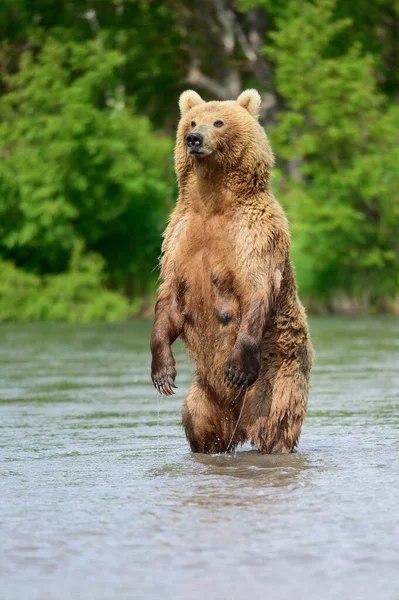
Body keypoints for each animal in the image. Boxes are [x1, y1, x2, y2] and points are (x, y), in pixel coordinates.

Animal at [152, 89, 314, 452]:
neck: (213, 203)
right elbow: (168, 297)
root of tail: (235, 420)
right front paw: (162, 372)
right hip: (204, 394)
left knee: (275, 422)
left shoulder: (254, 235)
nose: (194, 139)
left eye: (219, 122)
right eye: (192, 121)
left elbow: (256, 289)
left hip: (276, 376)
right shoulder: (178, 238)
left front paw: (238, 367)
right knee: (197, 422)